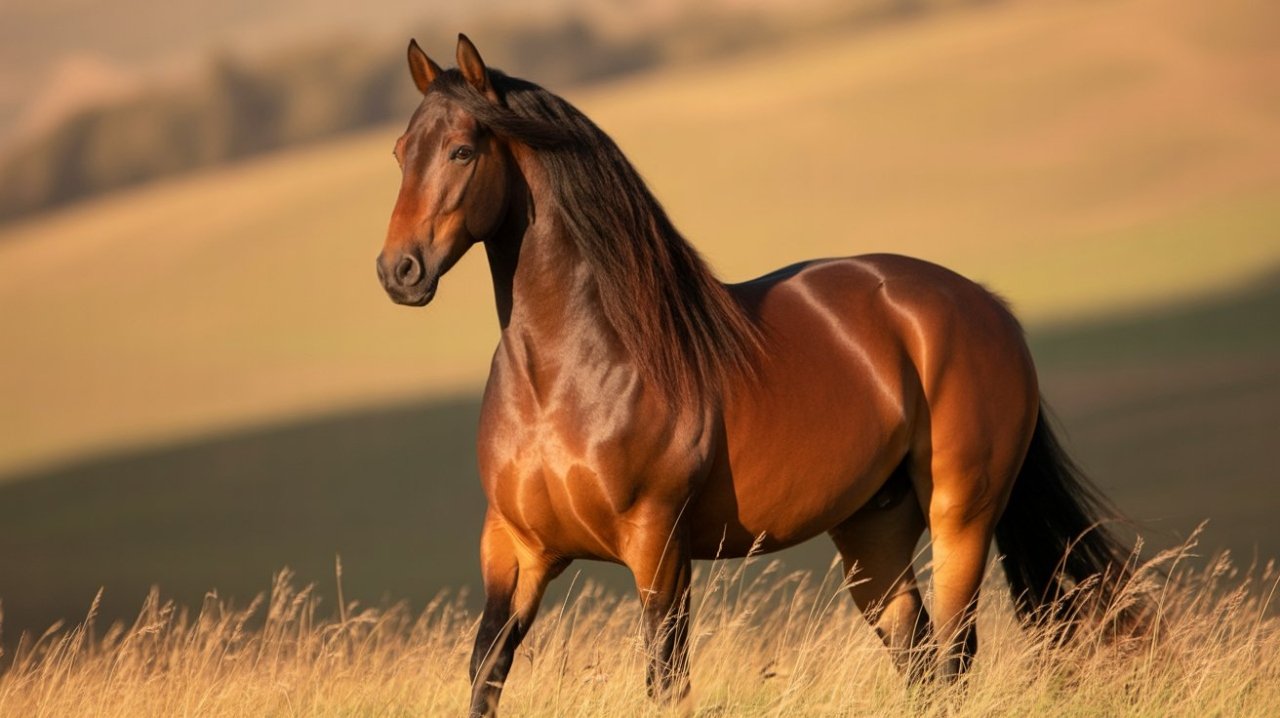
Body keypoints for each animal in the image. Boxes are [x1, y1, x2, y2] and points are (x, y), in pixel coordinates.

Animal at [376, 34, 1137, 717]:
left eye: (462, 149)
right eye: (400, 152)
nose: (398, 271)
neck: (566, 378)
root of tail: (986, 306)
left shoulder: (657, 549)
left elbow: (665, 682)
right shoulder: (514, 550)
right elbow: (486, 673)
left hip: (962, 515)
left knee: (952, 653)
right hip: (873, 531)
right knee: (918, 654)